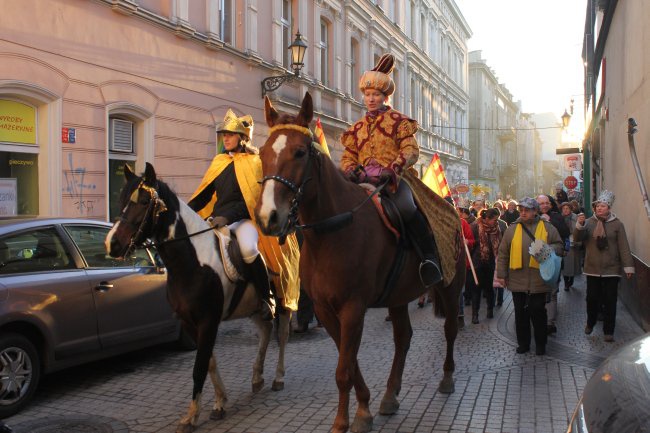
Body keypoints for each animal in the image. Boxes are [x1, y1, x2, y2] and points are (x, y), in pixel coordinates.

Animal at [105, 164, 288, 430]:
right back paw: (257, 378)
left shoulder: (208, 321)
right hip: (253, 307)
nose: (113, 244)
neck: (192, 262)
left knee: (282, 334)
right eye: (121, 200)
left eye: (144, 201)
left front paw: (192, 416)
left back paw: (278, 378)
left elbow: (199, 366)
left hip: (285, 299)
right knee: (265, 331)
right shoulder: (189, 321)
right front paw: (219, 402)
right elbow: (209, 362)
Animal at [256, 92, 464, 432]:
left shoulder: (353, 307)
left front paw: (345, 421)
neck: (332, 232)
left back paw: (446, 378)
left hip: (450, 285)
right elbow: (349, 363)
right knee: (403, 337)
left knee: (449, 329)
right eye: (262, 152)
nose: (268, 217)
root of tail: (453, 209)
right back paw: (390, 395)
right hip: (398, 295)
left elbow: (344, 370)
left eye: (299, 152)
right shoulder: (326, 310)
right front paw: (364, 407)